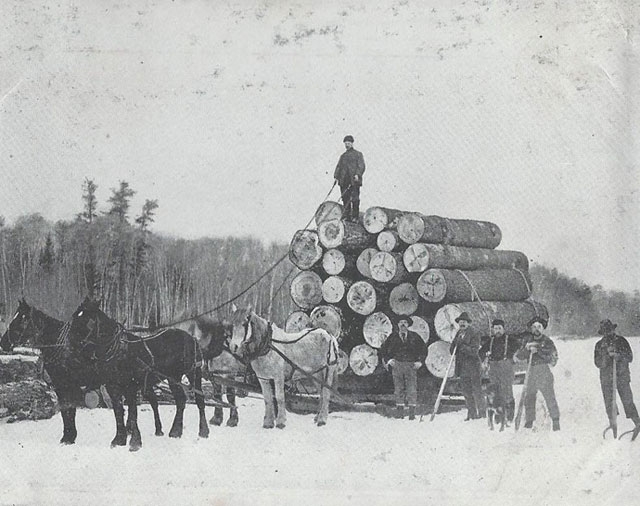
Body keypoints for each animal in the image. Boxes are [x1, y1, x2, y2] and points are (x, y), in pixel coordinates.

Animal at [69, 296, 210, 450]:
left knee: (199, 399)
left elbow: (133, 411)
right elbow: (118, 411)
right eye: (75, 317)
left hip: (193, 372)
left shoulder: (130, 387)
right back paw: (175, 431)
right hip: (173, 377)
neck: (119, 351)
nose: (71, 346)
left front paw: (135, 442)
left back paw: (203, 431)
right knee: (180, 400)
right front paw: (119, 439)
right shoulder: (113, 387)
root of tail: (191, 337)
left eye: (88, 321)